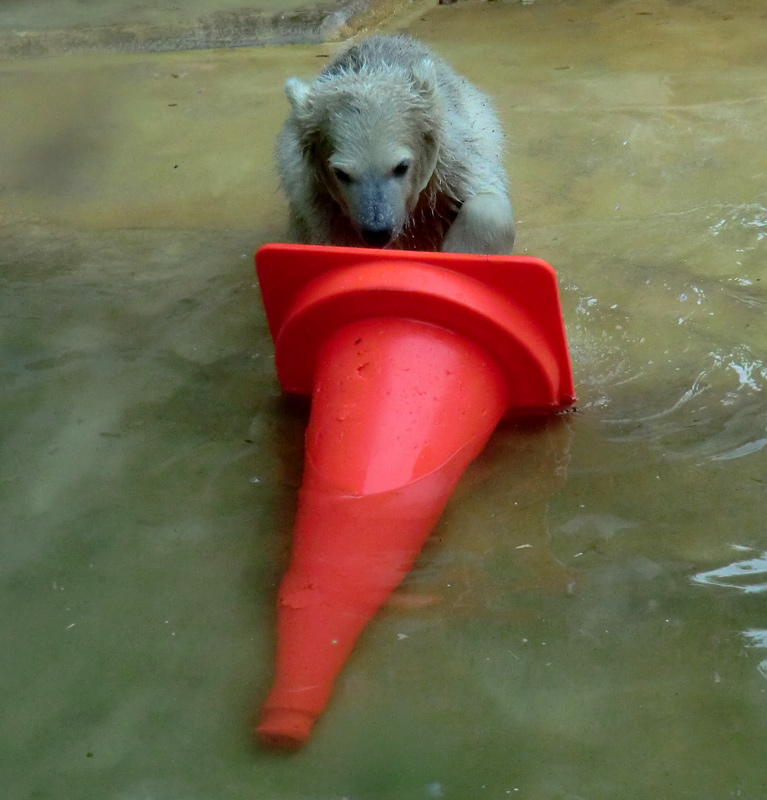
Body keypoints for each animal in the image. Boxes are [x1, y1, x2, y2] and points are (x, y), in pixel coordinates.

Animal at [276, 33, 516, 253]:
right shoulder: (318, 204)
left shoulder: (451, 165)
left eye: (402, 167)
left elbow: (486, 203)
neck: (371, 69)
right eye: (341, 173)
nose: (377, 231)